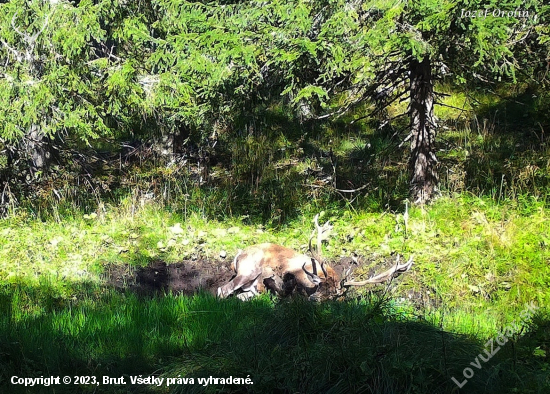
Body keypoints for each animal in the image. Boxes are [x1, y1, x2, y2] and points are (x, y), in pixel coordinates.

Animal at [219, 214, 414, 300]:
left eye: (330, 299)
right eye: (320, 288)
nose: (313, 299)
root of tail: (237, 256)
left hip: (250, 286)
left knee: (240, 295)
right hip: (248, 270)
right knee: (223, 290)